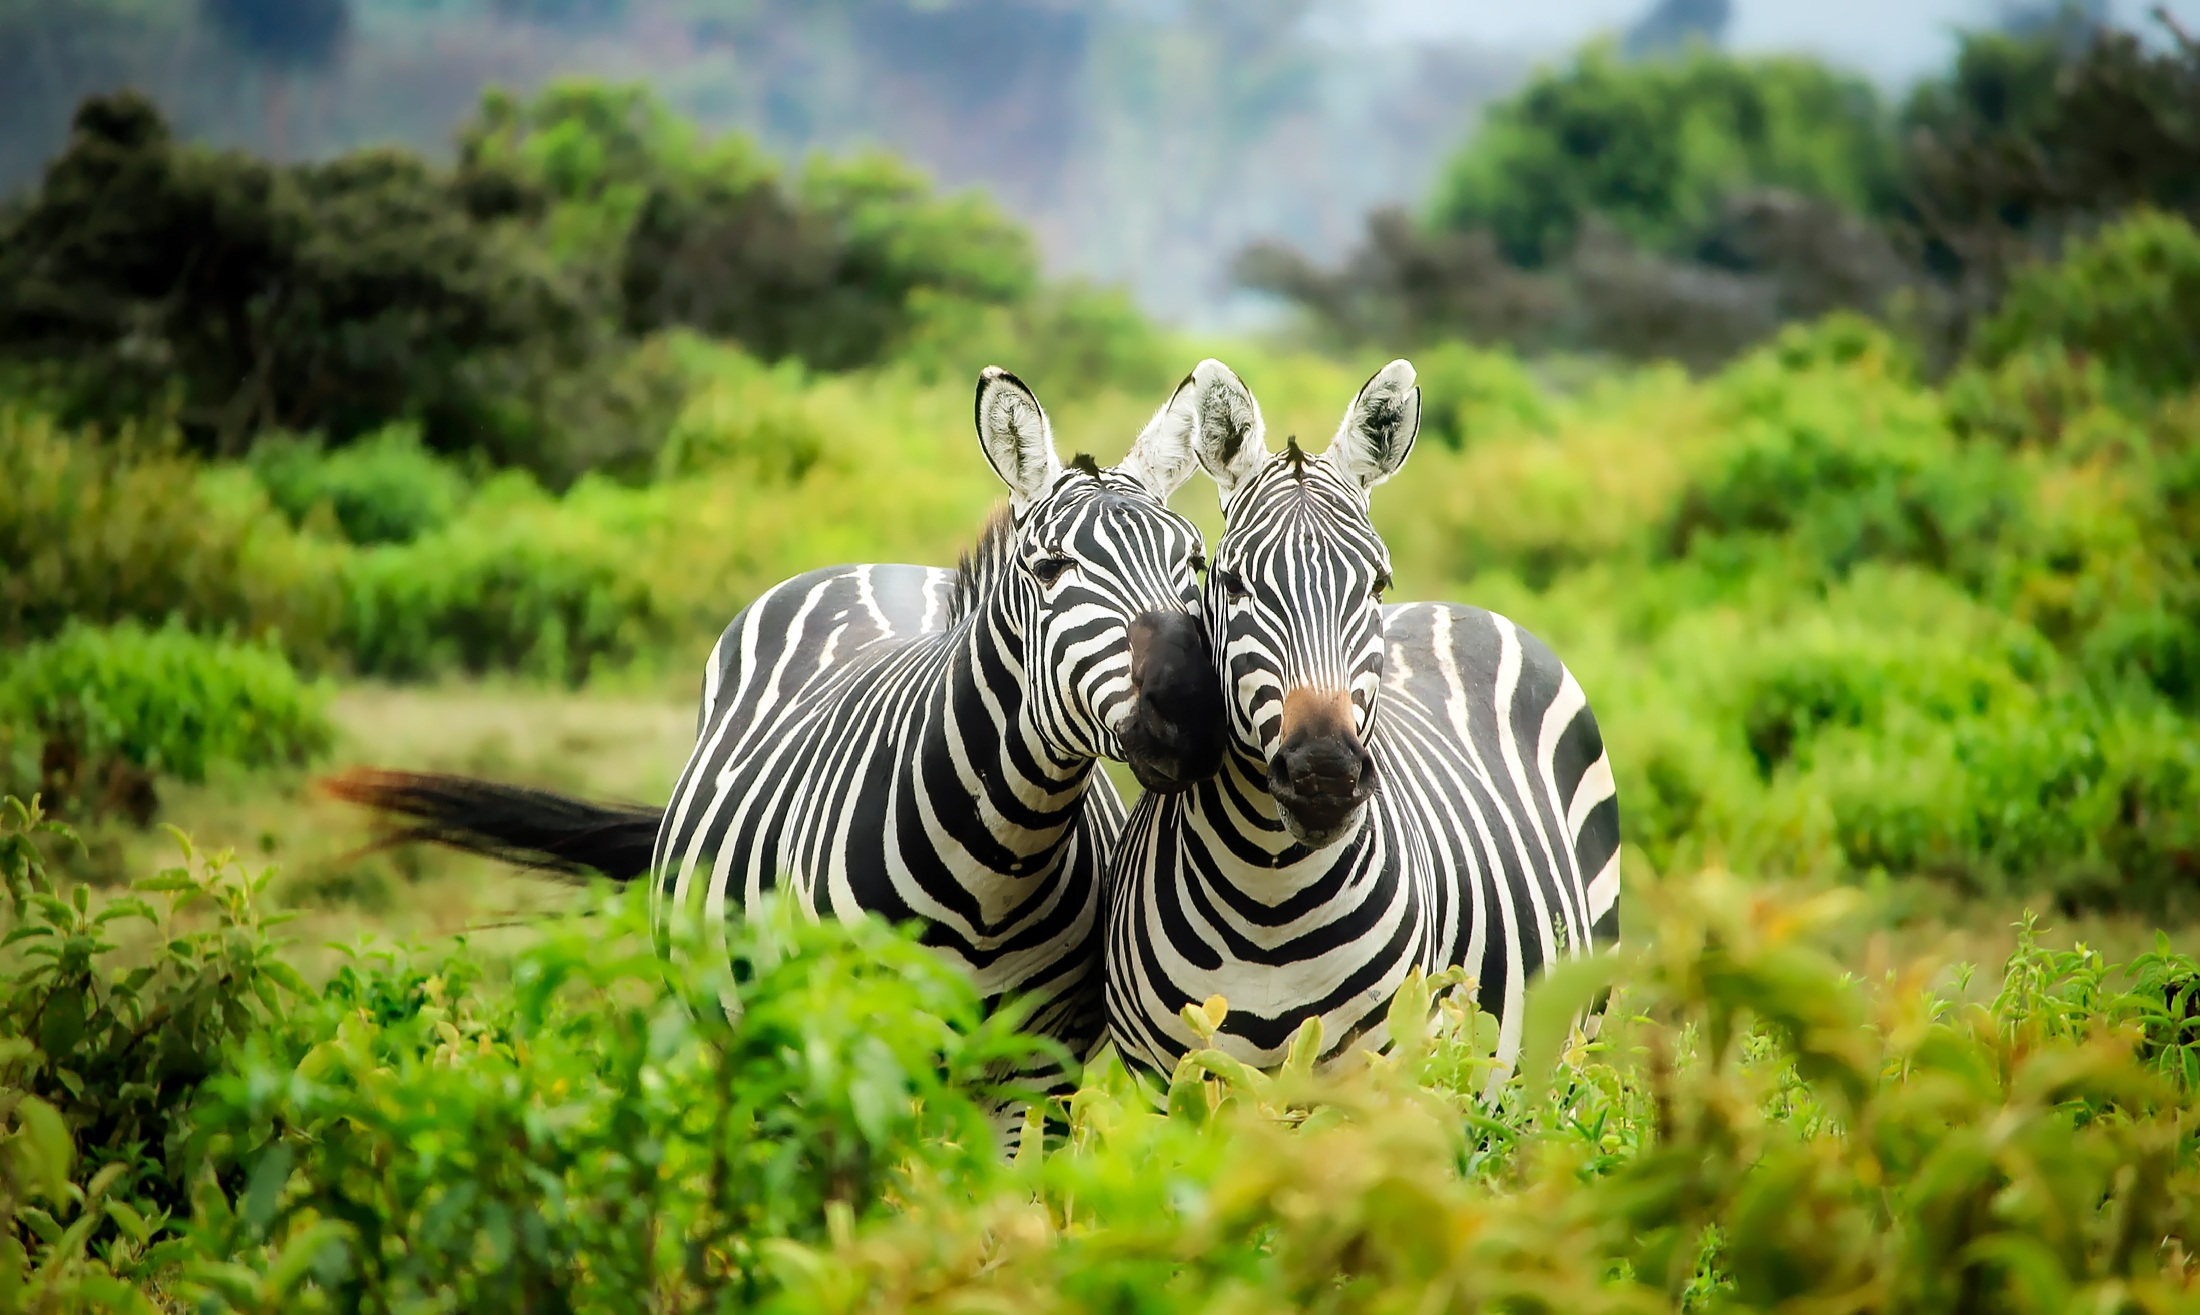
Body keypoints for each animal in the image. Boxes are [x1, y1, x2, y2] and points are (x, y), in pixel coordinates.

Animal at [336, 365, 1240, 1099]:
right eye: (1051, 569)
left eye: (1195, 564)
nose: (1194, 711)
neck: (999, 863)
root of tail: (876, 567)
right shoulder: (850, 1050)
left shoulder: (1036, 1074)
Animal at [1100, 358, 1619, 1081]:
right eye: (1231, 583)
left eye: (1377, 583)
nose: (1324, 775)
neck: (1268, 895)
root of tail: (1457, 606)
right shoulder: (1168, 1080)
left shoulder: (1379, 1073)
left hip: (1575, 1036)